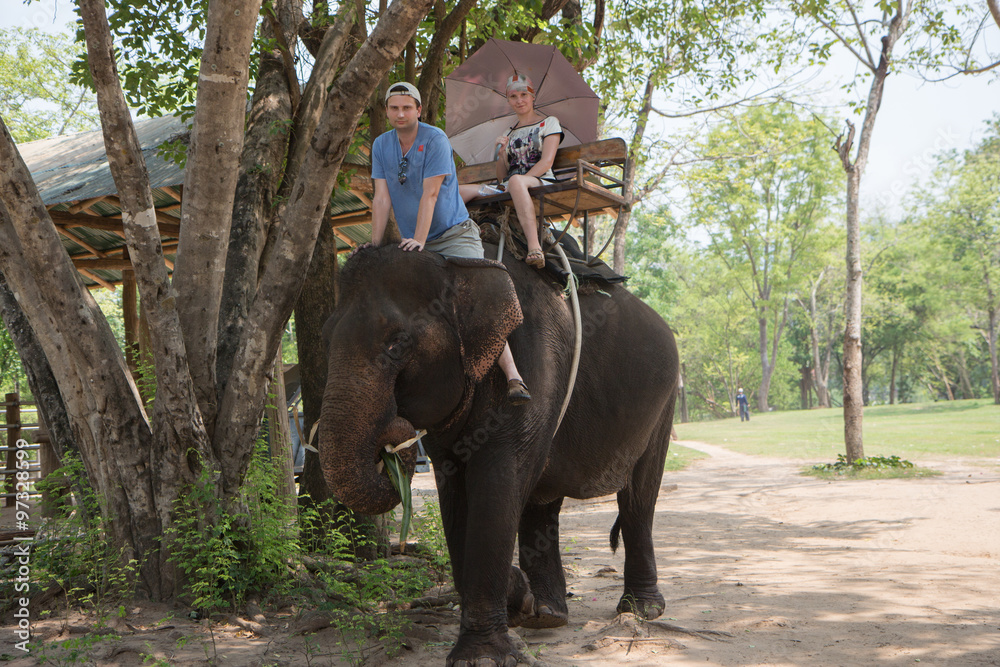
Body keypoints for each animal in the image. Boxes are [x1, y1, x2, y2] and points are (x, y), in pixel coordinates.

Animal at [319, 243, 678, 666]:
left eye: (396, 344)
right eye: (325, 339)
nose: (393, 449)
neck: (454, 268)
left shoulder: (531, 366)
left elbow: (497, 483)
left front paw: (483, 656)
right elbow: (455, 495)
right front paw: (520, 600)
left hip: (664, 402)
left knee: (639, 496)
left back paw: (640, 609)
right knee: (543, 502)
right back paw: (548, 614)